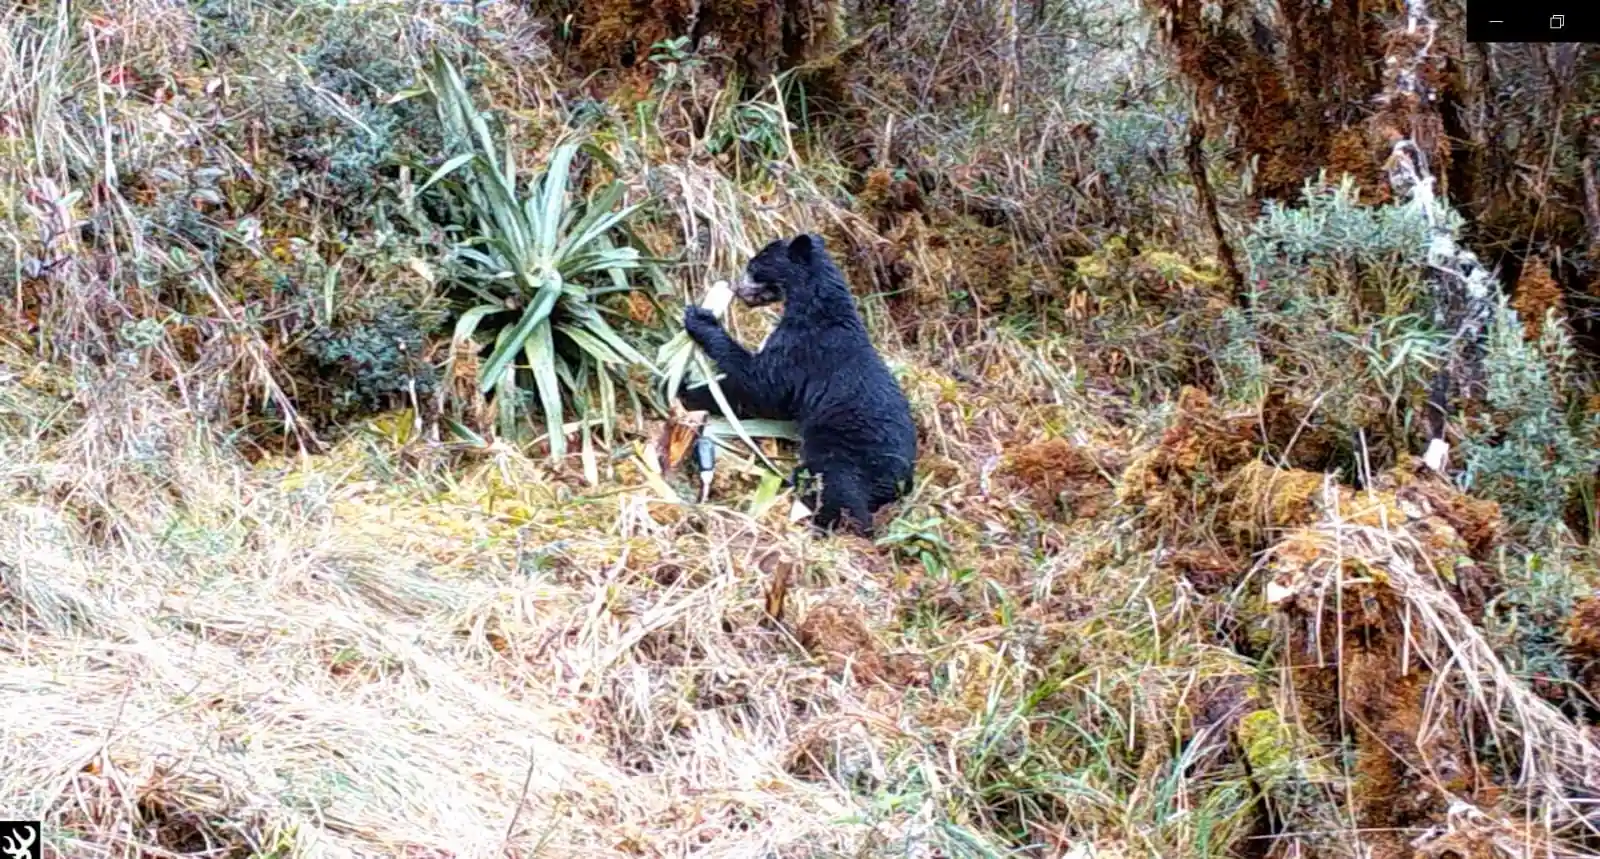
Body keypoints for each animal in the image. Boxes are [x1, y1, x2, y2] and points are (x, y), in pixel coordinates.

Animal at [679, 233, 917, 534]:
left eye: (754, 265)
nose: (736, 288)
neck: (819, 309)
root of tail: (900, 483)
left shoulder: (802, 350)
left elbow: (760, 387)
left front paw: (699, 323)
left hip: (848, 454)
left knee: (838, 490)